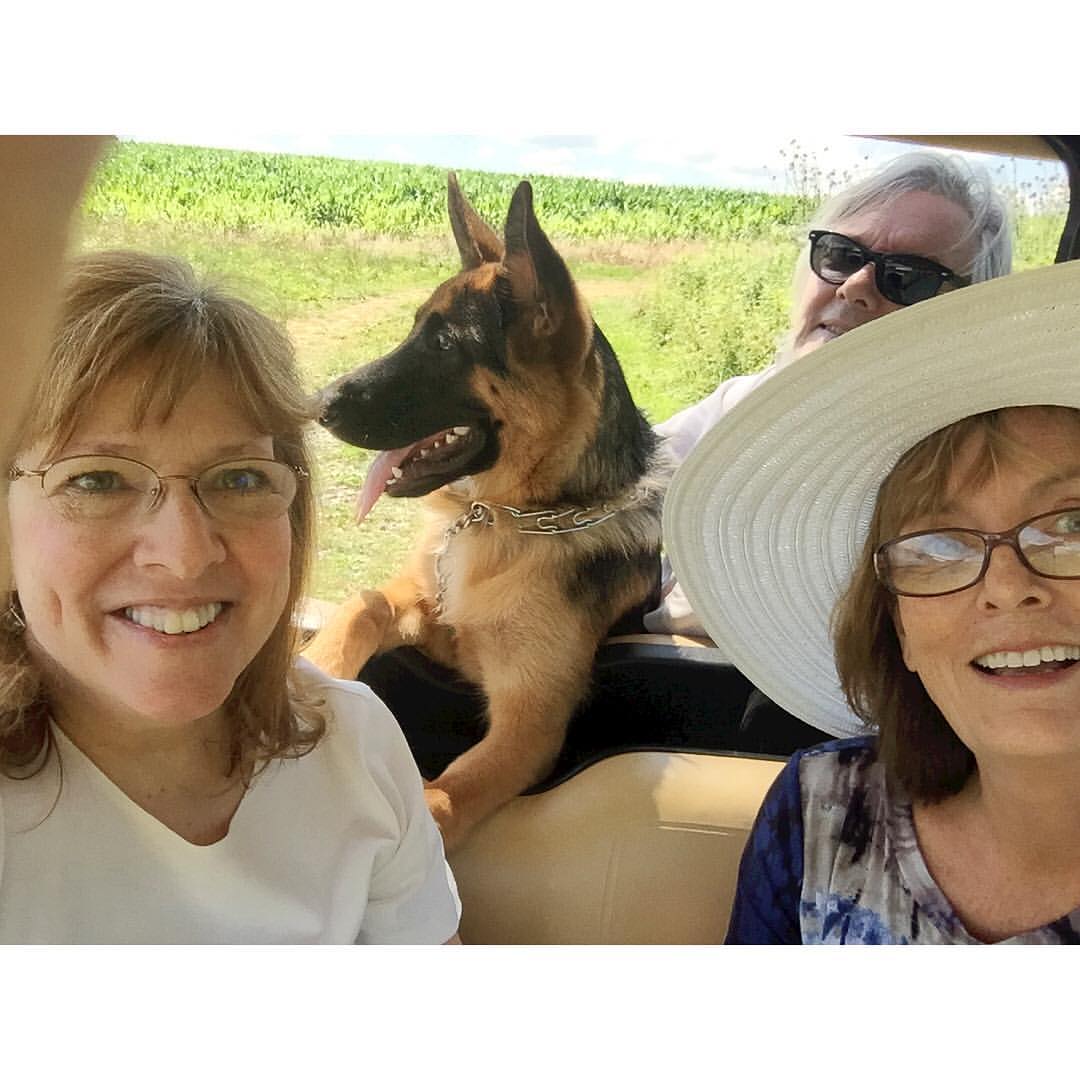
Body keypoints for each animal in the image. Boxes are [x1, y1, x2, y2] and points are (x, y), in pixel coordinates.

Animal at [306, 174, 671, 850]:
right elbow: (362, 606)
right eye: (415, 330)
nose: (316, 403)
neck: (512, 517)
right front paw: (314, 669)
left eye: (446, 344)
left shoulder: (527, 725)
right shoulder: (429, 622)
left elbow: (443, 798)